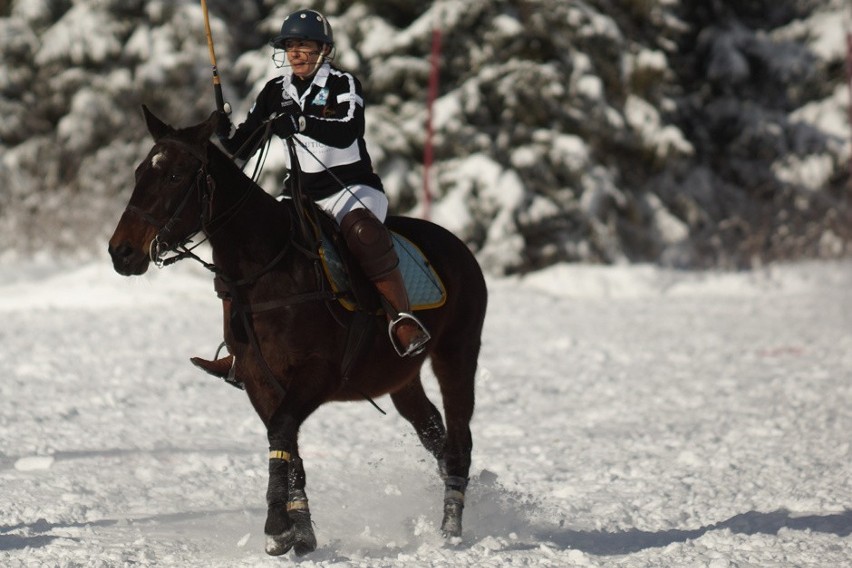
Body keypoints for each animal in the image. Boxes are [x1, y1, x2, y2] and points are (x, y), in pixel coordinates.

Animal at [108, 105, 486, 556]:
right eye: (138, 172)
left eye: (175, 176)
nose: (121, 252)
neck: (265, 268)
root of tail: (461, 246)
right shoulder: (257, 376)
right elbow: (285, 442)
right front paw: (300, 531)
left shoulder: (318, 374)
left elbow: (282, 429)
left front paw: (277, 528)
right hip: (401, 377)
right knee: (434, 434)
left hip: (457, 352)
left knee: (459, 439)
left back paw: (451, 529)